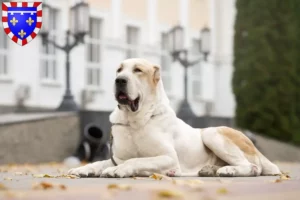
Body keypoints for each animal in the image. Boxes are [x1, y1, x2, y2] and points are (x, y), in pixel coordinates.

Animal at [68, 58, 282, 178]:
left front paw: (117, 171)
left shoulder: (168, 158)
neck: (136, 119)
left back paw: (229, 171)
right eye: (119, 70)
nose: (119, 80)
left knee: (251, 166)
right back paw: (210, 170)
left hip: (212, 133)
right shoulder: (118, 157)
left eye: (137, 70)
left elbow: (136, 161)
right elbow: (101, 162)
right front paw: (83, 169)